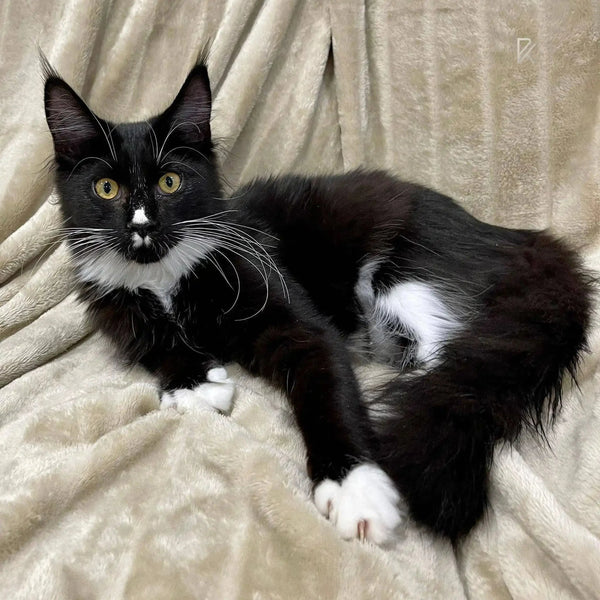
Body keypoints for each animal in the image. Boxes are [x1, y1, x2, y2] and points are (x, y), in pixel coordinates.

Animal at [44, 63, 592, 548]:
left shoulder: (289, 312)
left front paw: (355, 490)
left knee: (460, 355)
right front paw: (195, 383)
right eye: (106, 188)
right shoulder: (120, 314)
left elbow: (326, 388)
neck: (163, 280)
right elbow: (158, 346)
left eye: (170, 183)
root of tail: (514, 235)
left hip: (407, 276)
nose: (142, 225)